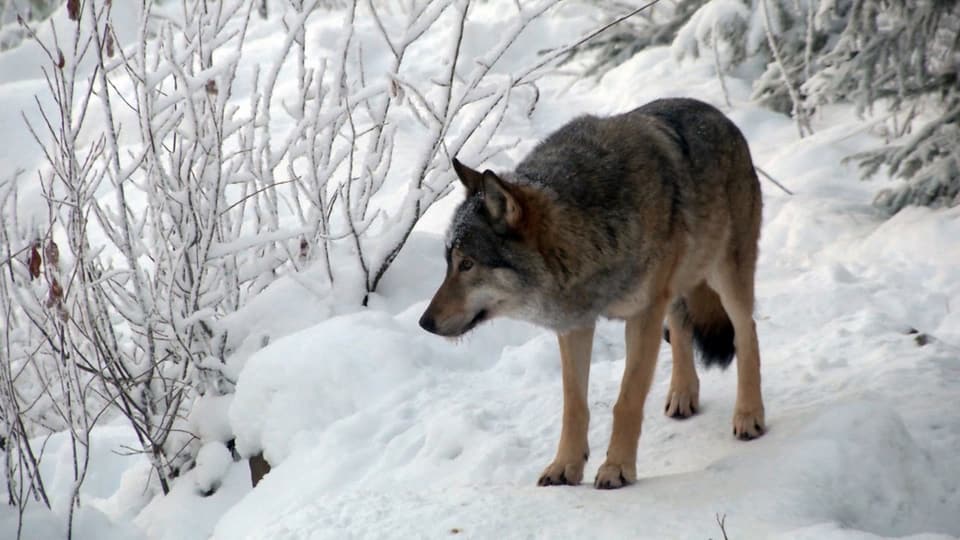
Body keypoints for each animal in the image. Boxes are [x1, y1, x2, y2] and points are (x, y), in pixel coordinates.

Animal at [420, 97, 764, 490]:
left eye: (467, 264)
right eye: (448, 262)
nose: (424, 323)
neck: (588, 234)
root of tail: (718, 114)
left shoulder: (643, 315)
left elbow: (626, 400)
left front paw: (616, 469)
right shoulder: (575, 326)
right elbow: (574, 405)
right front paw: (565, 466)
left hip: (726, 275)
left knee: (746, 331)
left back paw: (749, 415)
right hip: (677, 287)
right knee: (681, 327)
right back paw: (682, 395)